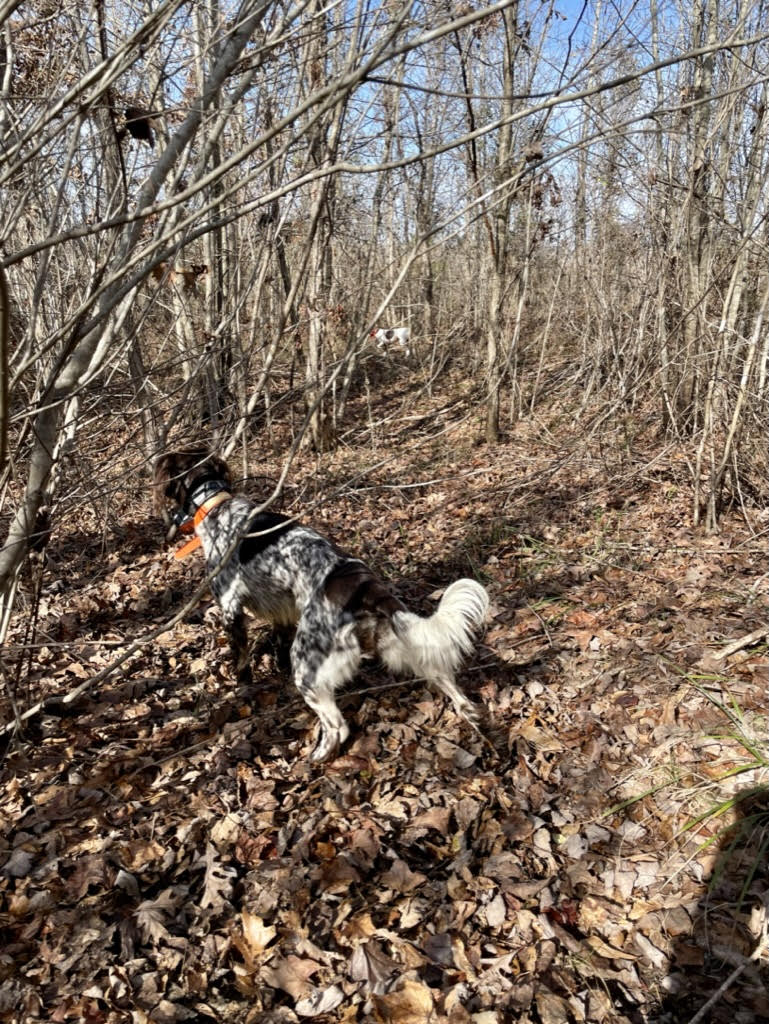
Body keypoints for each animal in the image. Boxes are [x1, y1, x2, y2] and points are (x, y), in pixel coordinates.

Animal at [154, 448, 489, 761]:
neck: (217, 504)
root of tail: (364, 584)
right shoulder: (282, 609)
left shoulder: (229, 607)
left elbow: (241, 662)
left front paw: (242, 689)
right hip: (397, 644)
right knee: (444, 679)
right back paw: (472, 717)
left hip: (309, 668)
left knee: (338, 726)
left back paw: (316, 759)